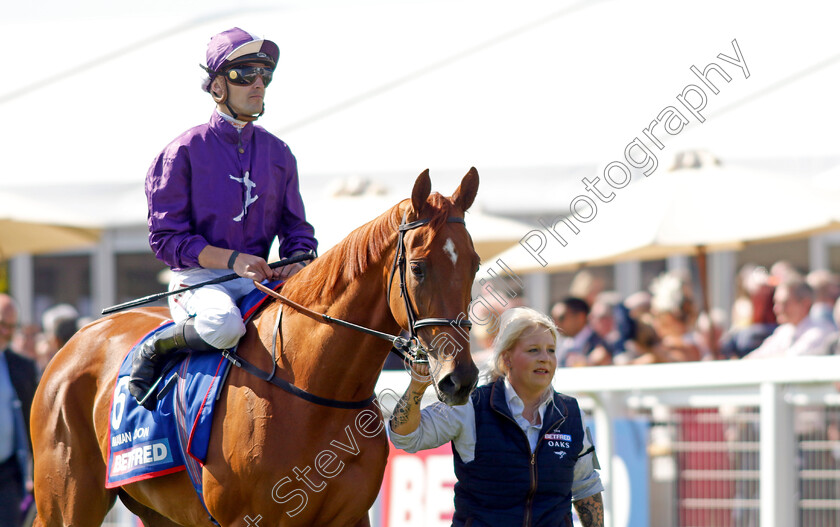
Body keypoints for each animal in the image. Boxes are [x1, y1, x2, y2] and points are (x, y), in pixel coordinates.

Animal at [31, 170, 480, 527]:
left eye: (474, 263)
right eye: (418, 267)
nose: (459, 378)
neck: (317, 394)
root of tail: (74, 342)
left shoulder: (349, 517)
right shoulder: (248, 520)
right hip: (68, 501)